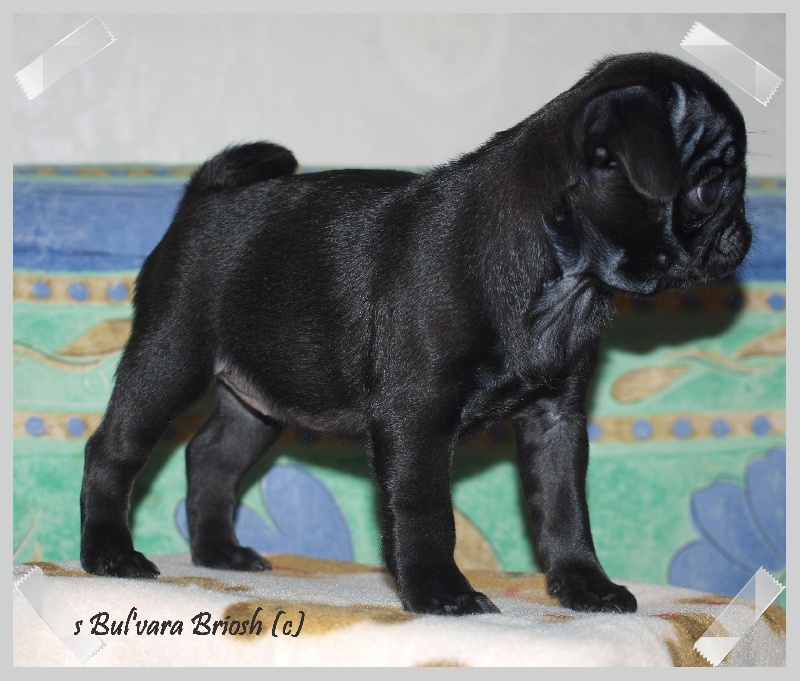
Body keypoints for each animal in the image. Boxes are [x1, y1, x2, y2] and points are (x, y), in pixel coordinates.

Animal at [80, 52, 751, 615]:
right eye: (710, 188)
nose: (745, 234)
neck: (561, 280)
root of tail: (205, 196)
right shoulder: (417, 415)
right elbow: (426, 510)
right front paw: (438, 592)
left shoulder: (556, 419)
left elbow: (566, 509)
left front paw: (585, 586)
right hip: (170, 356)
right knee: (114, 448)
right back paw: (110, 555)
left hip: (259, 397)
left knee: (213, 455)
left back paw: (219, 552)